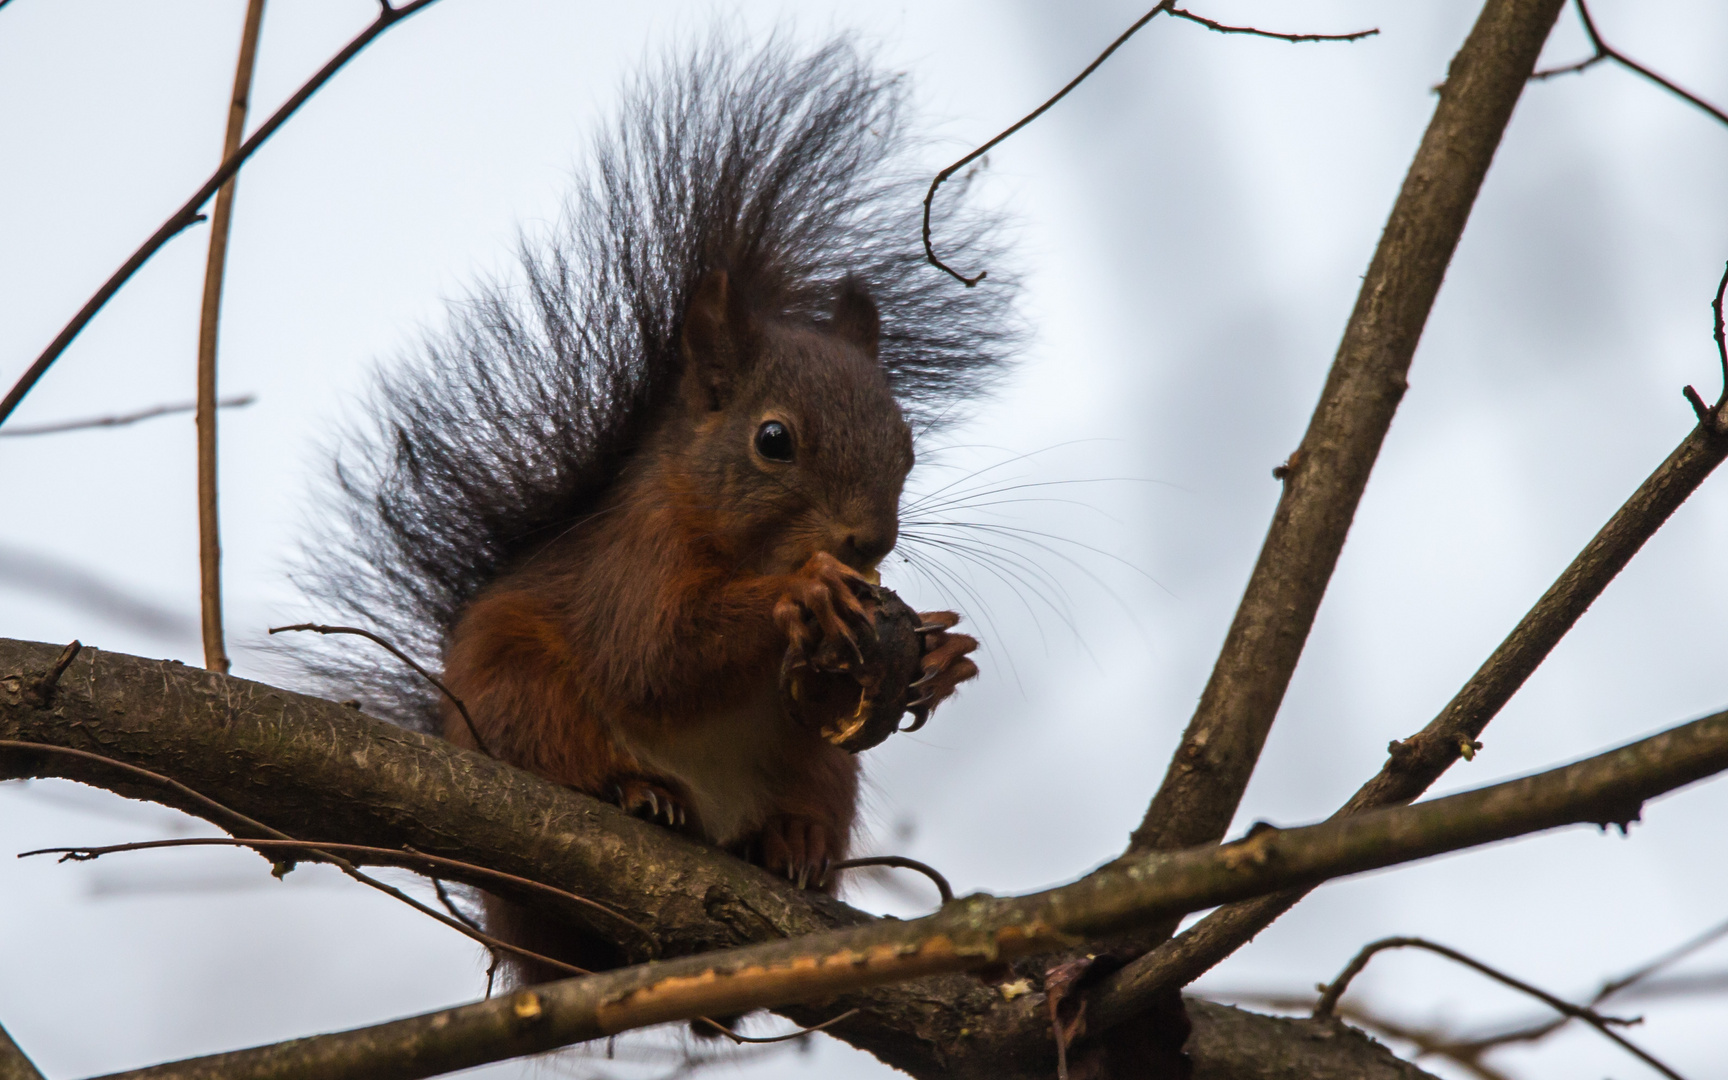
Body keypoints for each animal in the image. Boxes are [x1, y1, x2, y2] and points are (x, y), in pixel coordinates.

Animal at [292, 38, 1016, 967]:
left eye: (907, 439)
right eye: (773, 439)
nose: (868, 541)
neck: (735, 539)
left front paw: (944, 654)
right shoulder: (635, 563)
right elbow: (654, 654)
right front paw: (804, 591)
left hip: (824, 770)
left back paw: (795, 842)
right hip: (518, 692)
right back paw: (636, 790)